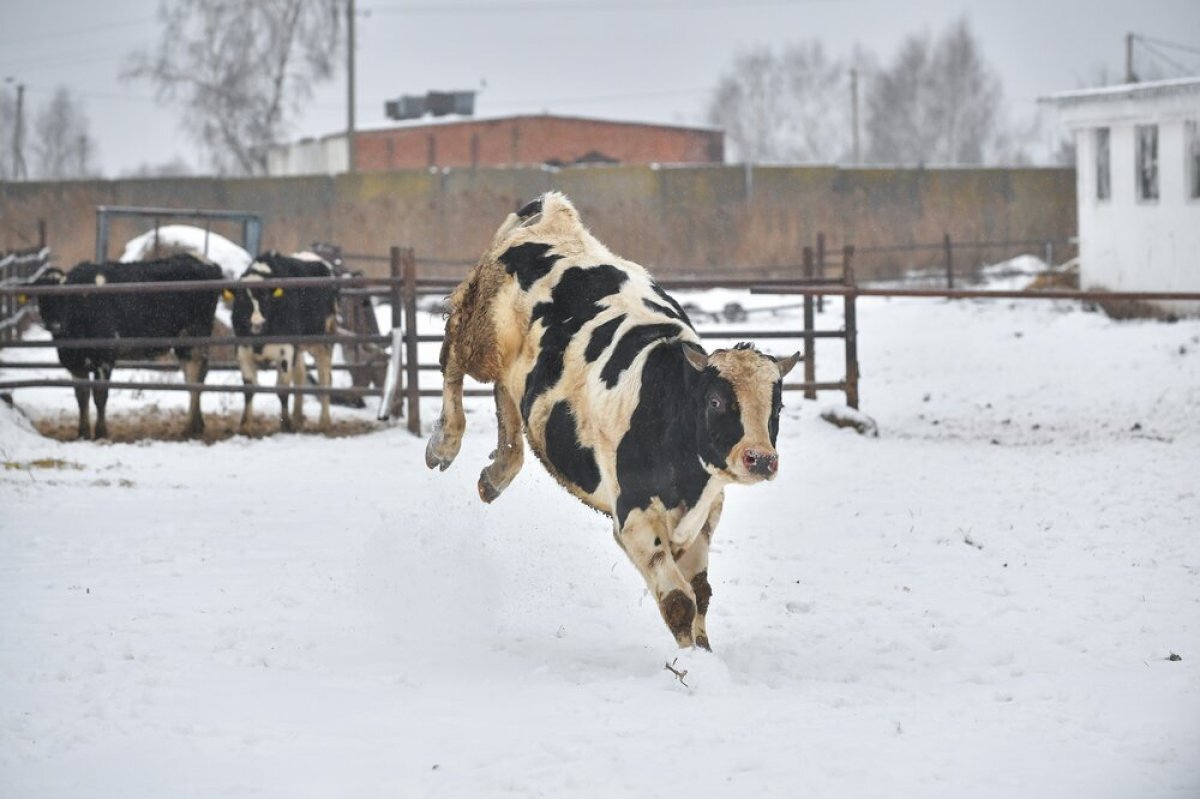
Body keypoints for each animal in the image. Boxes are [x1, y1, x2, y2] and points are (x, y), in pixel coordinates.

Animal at [34, 251, 223, 439]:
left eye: (63, 297)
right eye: (41, 299)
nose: (55, 325)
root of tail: (201, 258)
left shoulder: (105, 357)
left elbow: (100, 395)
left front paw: (101, 433)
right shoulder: (75, 363)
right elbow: (82, 397)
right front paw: (83, 433)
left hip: (196, 334)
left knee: (196, 374)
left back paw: (190, 427)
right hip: (183, 342)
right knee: (191, 376)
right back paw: (196, 425)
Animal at [229, 250, 338, 431]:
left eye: (266, 298)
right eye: (242, 300)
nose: (257, 323)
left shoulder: (286, 350)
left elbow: (282, 388)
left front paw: (285, 424)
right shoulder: (243, 350)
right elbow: (249, 387)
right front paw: (245, 425)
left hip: (324, 339)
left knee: (325, 377)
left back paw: (324, 421)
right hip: (299, 346)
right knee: (300, 374)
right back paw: (298, 418)